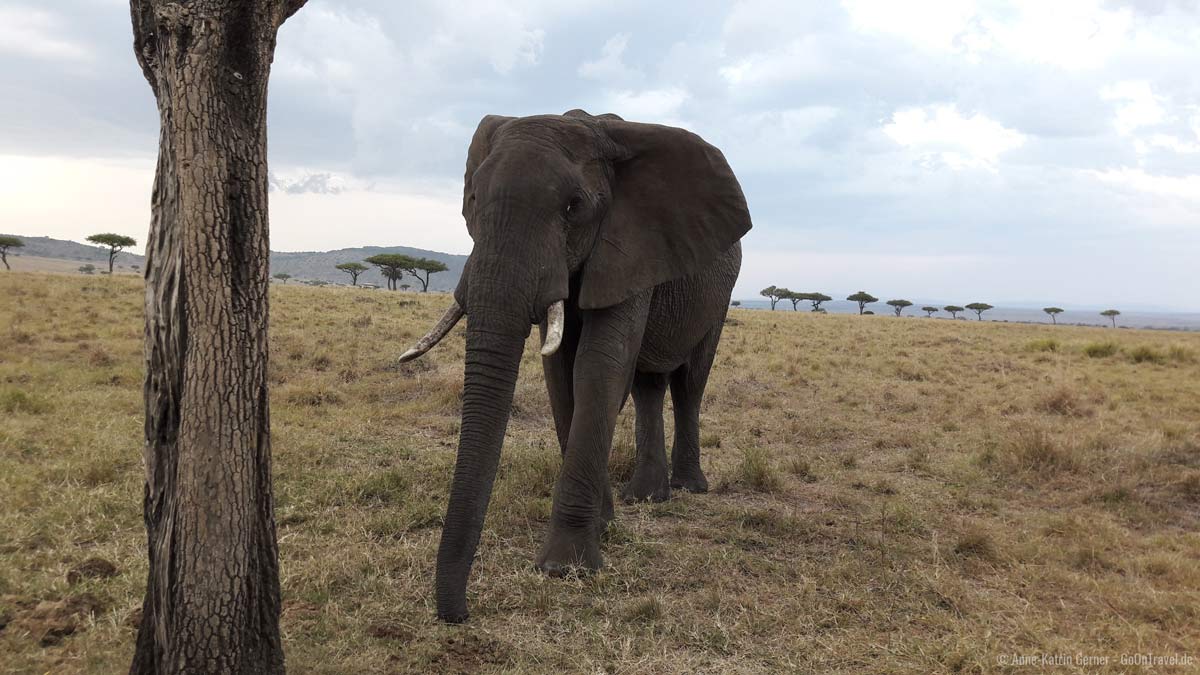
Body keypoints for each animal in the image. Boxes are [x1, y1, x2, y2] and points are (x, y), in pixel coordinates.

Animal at [403, 109, 748, 619]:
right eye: (471, 201)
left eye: (573, 207)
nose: (459, 614)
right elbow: (560, 373)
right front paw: (604, 523)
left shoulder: (630, 245)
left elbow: (598, 367)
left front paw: (566, 568)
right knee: (649, 385)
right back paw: (646, 496)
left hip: (718, 296)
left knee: (689, 383)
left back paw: (689, 489)